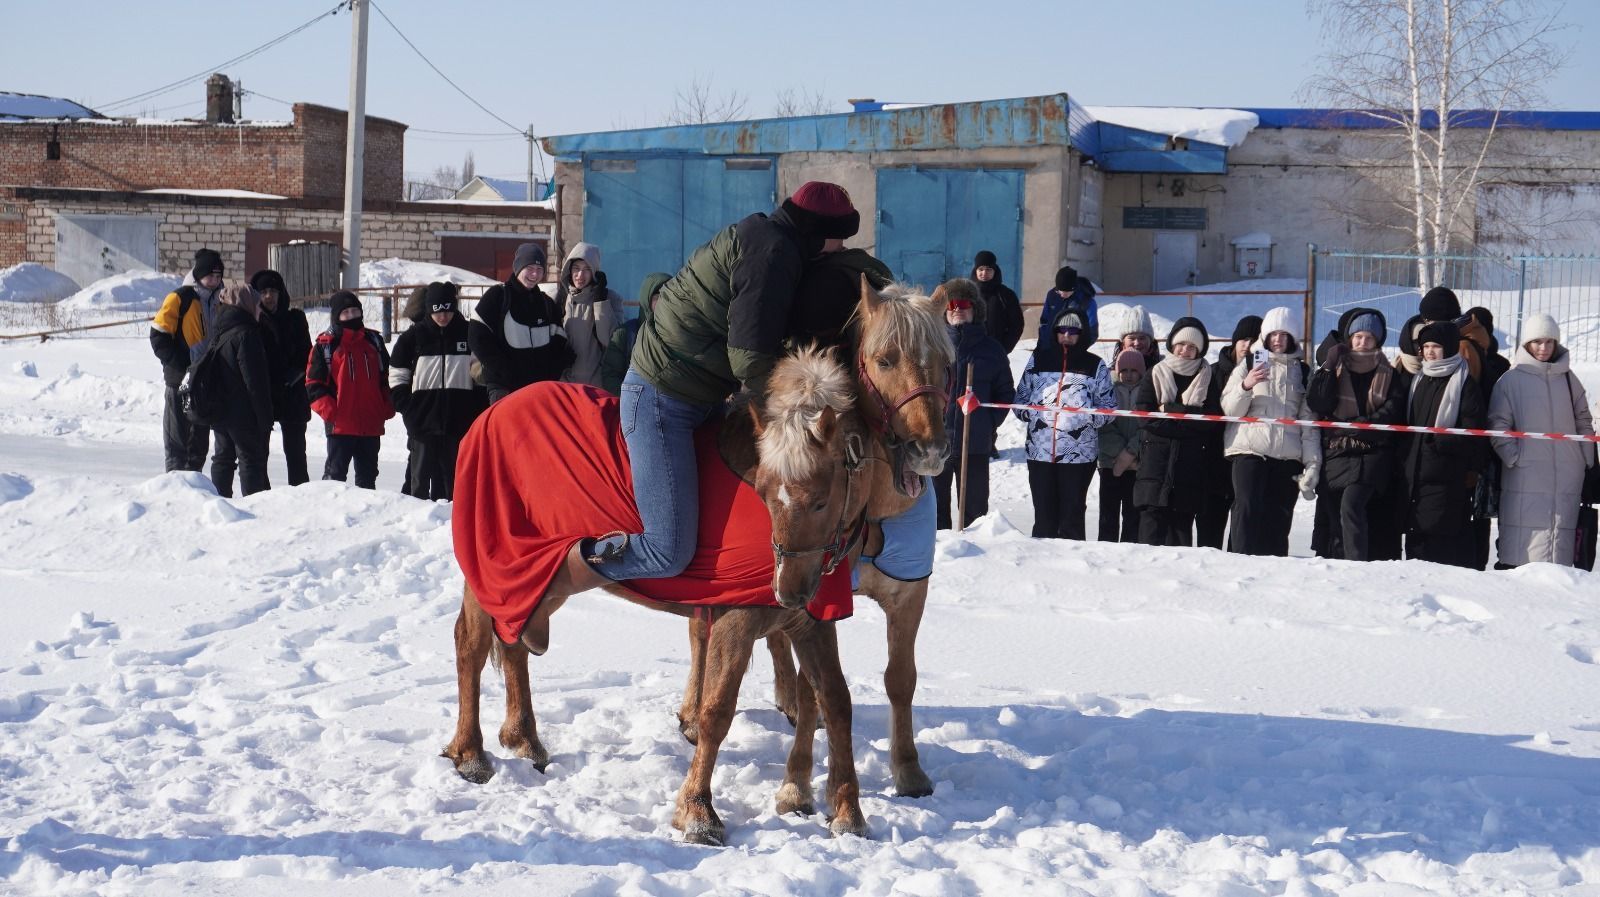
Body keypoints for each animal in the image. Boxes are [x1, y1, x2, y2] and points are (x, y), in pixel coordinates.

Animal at [444, 351, 883, 844]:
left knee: (516, 637)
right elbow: (716, 711)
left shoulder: (810, 624)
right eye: (767, 494)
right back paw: (471, 754)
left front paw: (848, 811)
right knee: (472, 643)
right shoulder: (736, 620)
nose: (786, 589)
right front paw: (698, 811)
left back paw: (524, 738)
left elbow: (836, 702)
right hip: (494, 562)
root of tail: (492, 414)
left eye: (821, 501)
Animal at [678, 278, 953, 796]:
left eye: (947, 363)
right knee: (702, 632)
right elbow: (813, 689)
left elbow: (899, 678)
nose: (927, 450)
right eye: (884, 359)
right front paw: (797, 782)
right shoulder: (814, 598)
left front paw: (908, 770)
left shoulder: (908, 592)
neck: (871, 507)